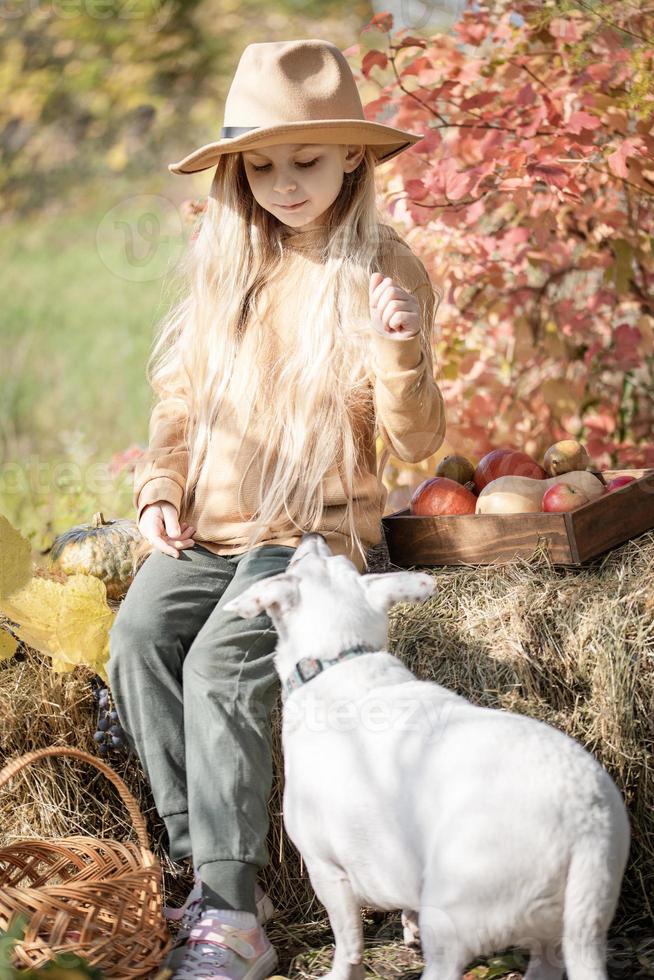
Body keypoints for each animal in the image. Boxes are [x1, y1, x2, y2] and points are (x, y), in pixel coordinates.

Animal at [223, 536, 632, 980]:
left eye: (298, 563)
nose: (313, 536)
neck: (341, 656)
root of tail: (585, 826)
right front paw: (408, 926)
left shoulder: (326, 870)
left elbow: (348, 943)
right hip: (563, 925)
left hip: (454, 920)